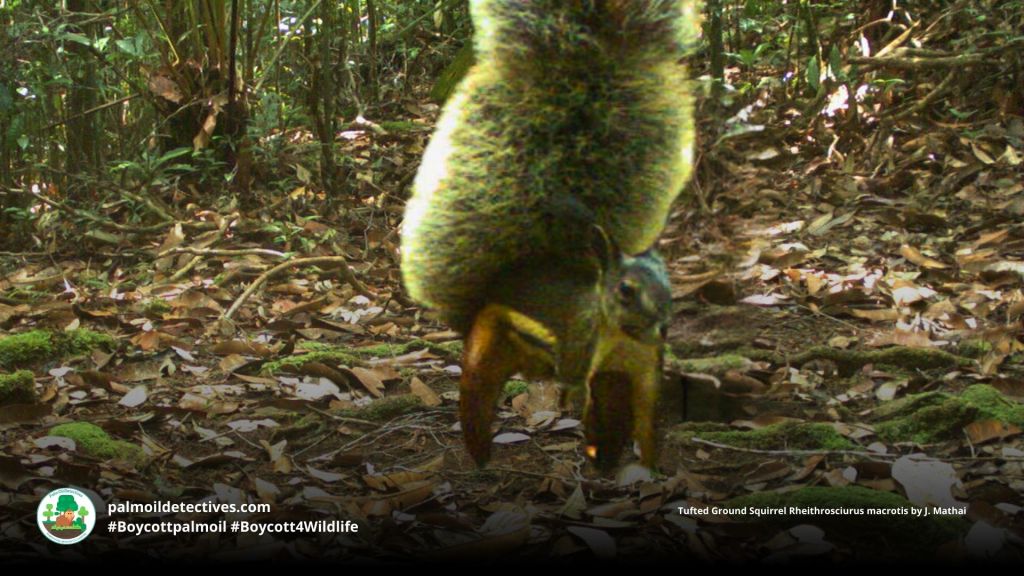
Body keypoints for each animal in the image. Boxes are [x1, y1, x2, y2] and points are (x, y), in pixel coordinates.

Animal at [401, 0, 697, 468]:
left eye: (668, 283)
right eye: (625, 291)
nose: (660, 323)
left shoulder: (639, 367)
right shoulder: (579, 348)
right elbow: (579, 381)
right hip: (493, 353)